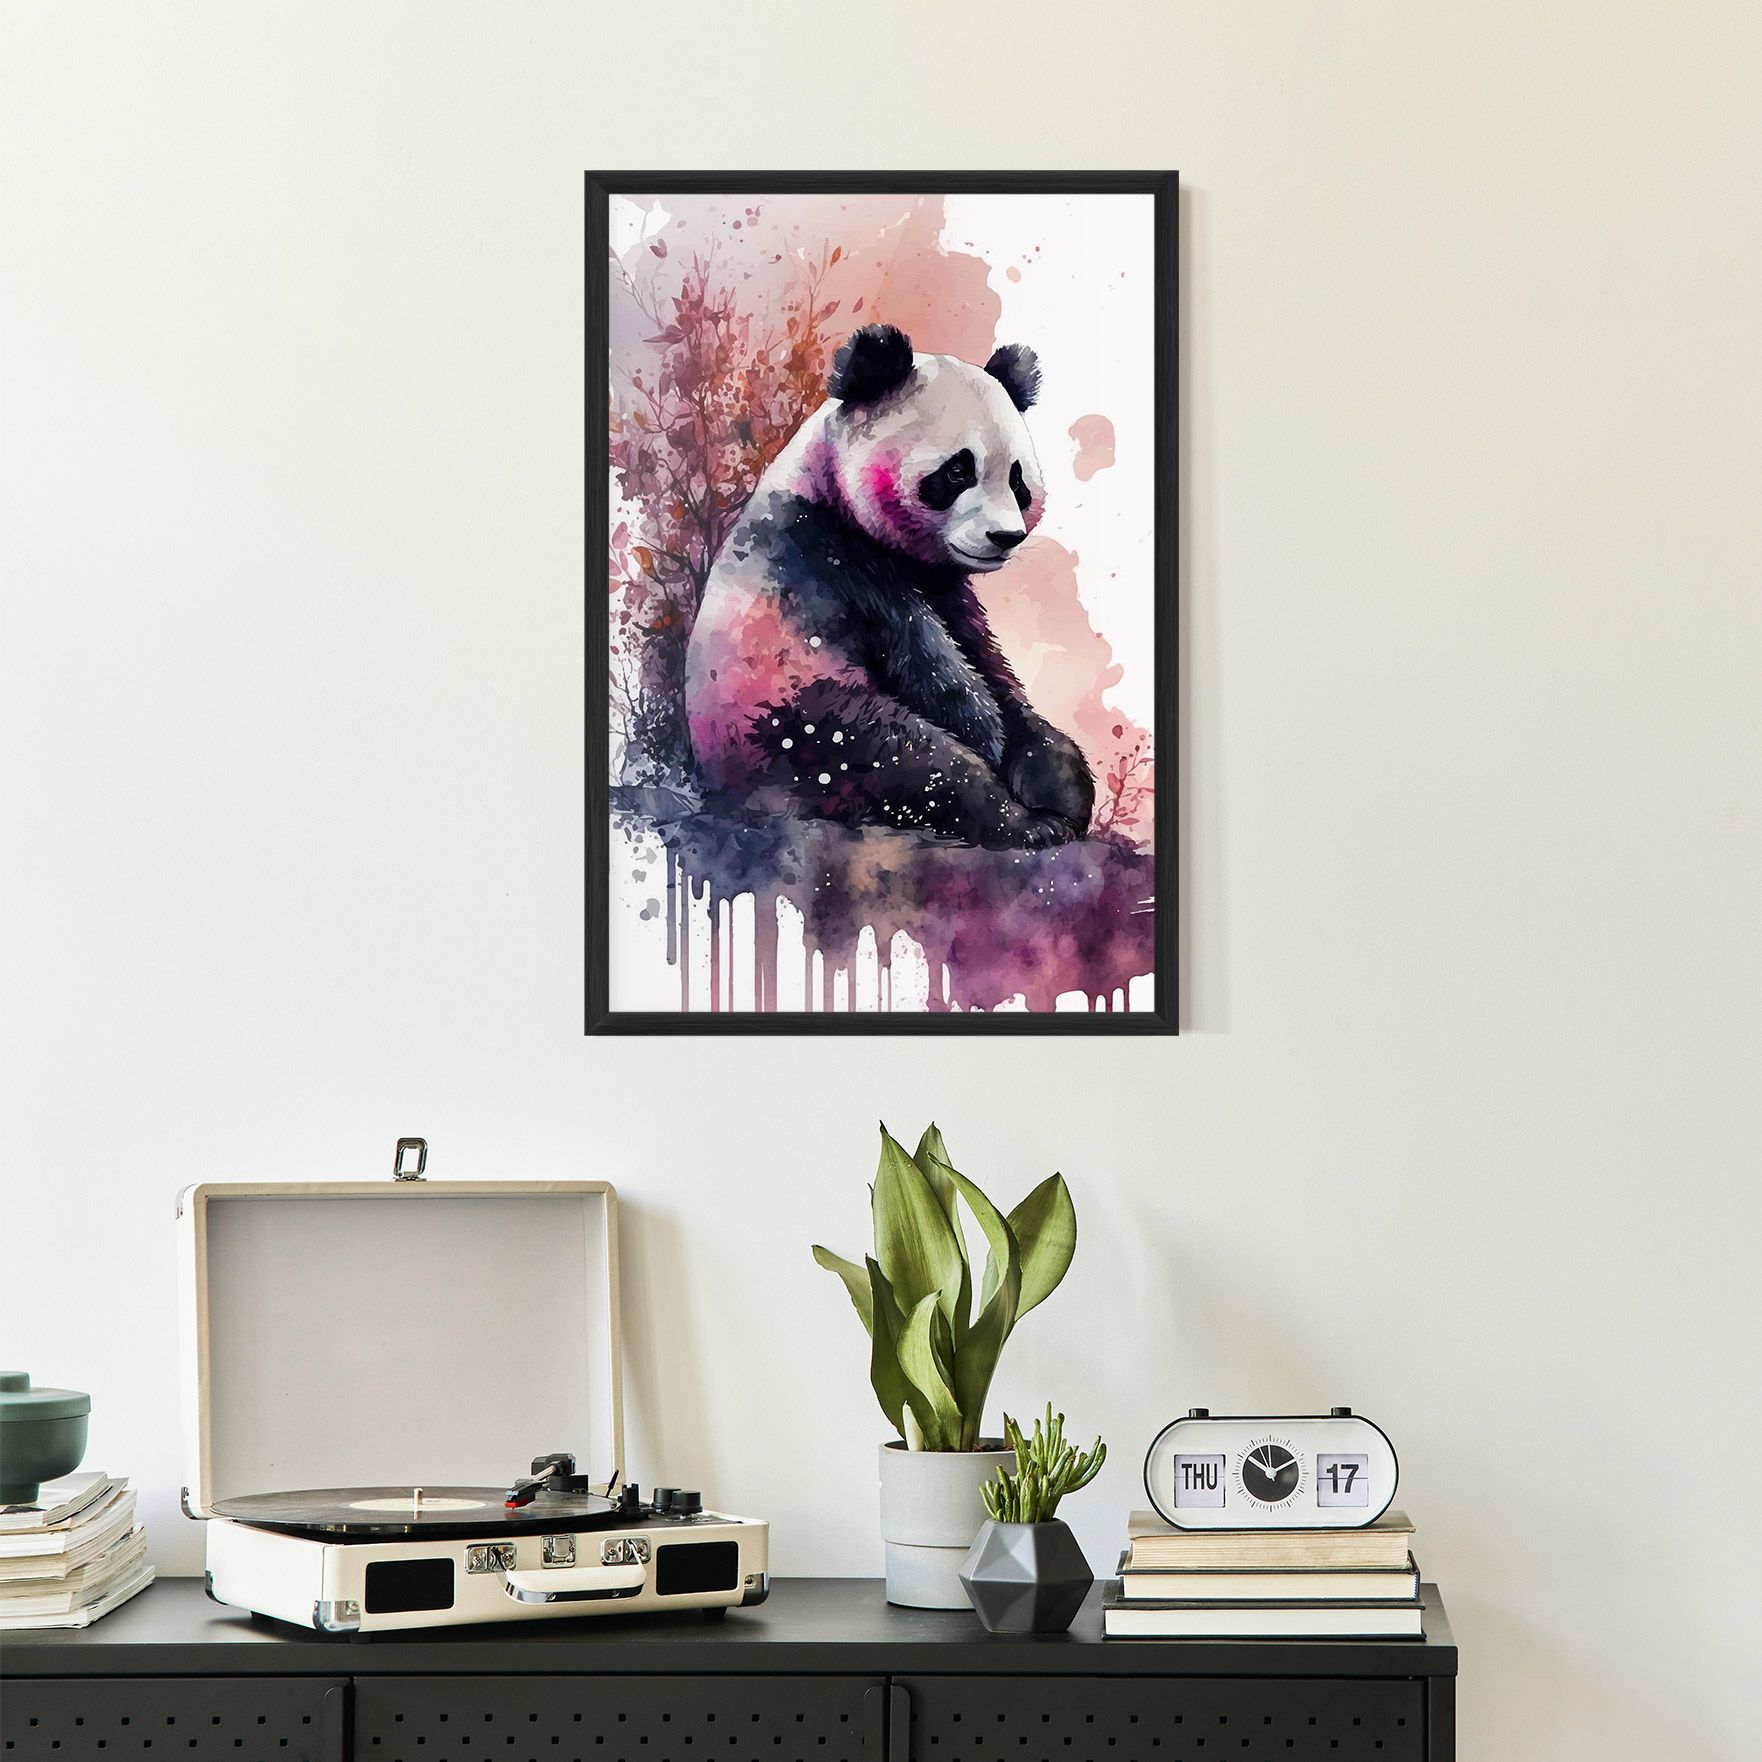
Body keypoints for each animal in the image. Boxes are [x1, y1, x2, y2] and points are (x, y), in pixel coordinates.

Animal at [684, 323, 1094, 850]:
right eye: (957, 471)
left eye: (1018, 479)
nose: (1006, 536)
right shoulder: (833, 560)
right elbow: (934, 669)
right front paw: (997, 749)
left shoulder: (947, 589)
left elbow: (991, 668)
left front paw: (1056, 777)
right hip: (794, 723)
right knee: (913, 760)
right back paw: (1021, 824)